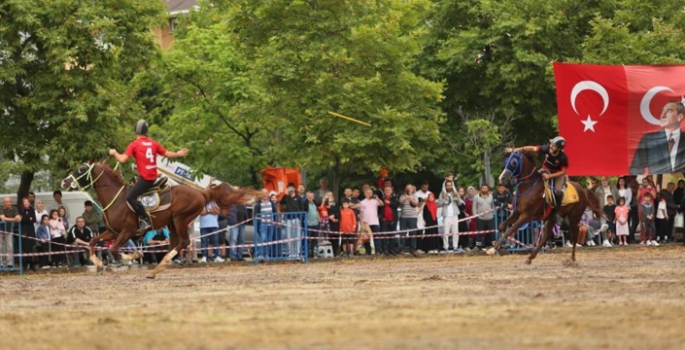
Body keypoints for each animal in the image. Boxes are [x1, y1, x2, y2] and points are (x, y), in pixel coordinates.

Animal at [58, 162, 256, 278]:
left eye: (82, 169)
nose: (64, 182)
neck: (117, 199)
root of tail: (202, 193)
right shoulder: (112, 232)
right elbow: (92, 242)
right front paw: (99, 263)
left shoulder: (127, 231)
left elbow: (114, 249)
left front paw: (134, 256)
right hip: (173, 223)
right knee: (176, 244)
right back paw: (157, 268)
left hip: (180, 219)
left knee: (183, 243)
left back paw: (159, 266)